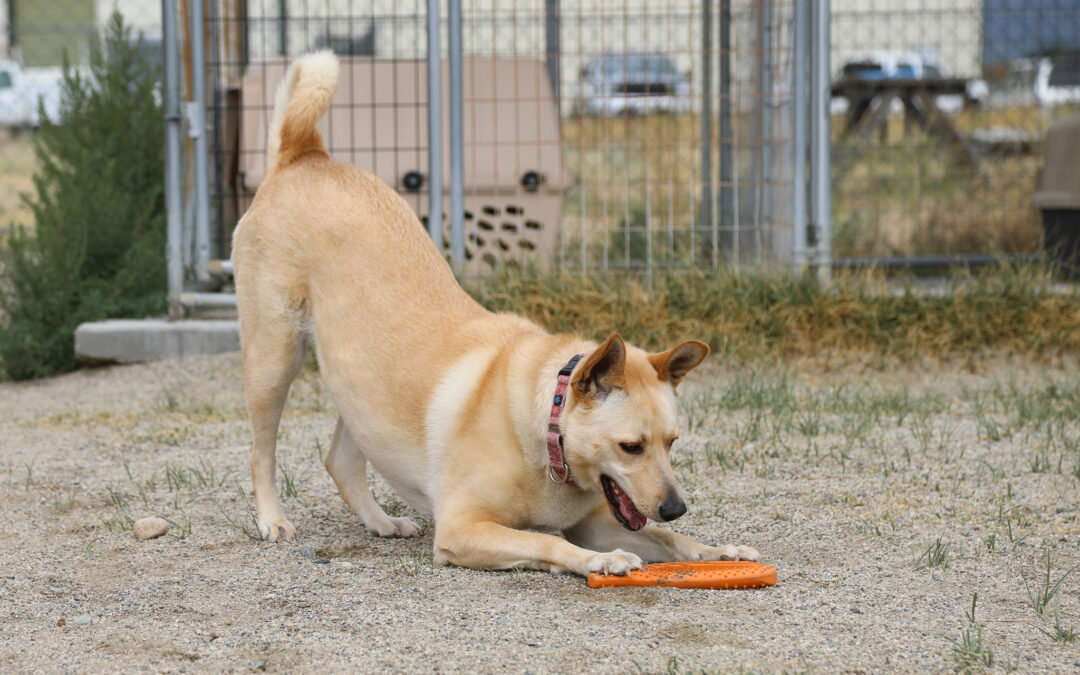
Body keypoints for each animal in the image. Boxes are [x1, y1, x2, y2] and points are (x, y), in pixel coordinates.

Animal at [234, 52, 760, 574]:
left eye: (672, 442)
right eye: (631, 446)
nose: (676, 507)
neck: (543, 427)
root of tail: (305, 155)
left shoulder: (597, 522)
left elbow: (668, 541)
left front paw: (717, 549)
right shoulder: (462, 529)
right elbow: (547, 542)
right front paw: (601, 561)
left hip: (359, 388)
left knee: (340, 461)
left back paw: (381, 521)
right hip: (274, 364)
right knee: (260, 451)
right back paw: (272, 520)